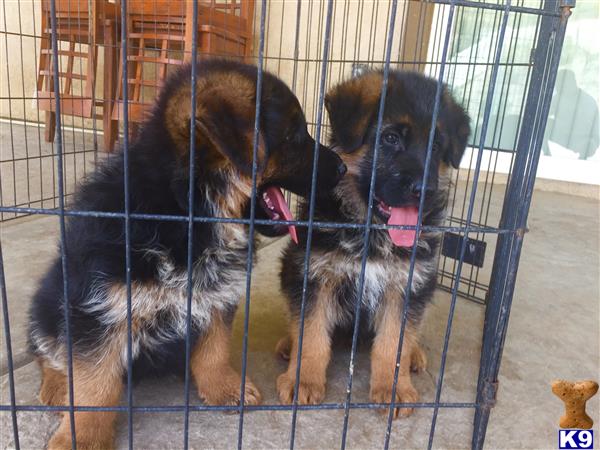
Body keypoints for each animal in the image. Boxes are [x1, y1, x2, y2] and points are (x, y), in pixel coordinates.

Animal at [276, 69, 468, 418]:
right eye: (390, 139)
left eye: (436, 147)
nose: (425, 190)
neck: (372, 231)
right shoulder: (315, 275)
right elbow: (310, 335)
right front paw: (303, 380)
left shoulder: (406, 286)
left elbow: (393, 344)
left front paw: (393, 389)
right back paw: (287, 342)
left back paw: (415, 353)